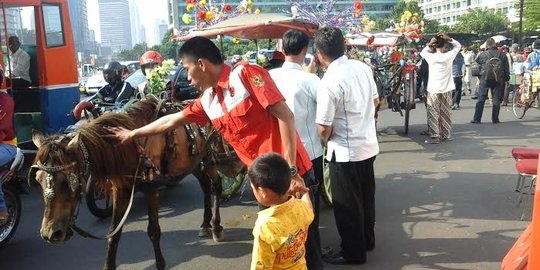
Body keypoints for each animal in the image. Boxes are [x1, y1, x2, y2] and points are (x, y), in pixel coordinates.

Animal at [30, 97, 246, 270]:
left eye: (68, 181)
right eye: (38, 180)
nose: (50, 233)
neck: (129, 146)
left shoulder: (151, 189)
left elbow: (153, 231)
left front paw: (160, 264)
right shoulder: (120, 190)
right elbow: (114, 233)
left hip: (210, 159)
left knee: (216, 187)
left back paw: (216, 227)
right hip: (194, 163)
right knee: (205, 187)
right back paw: (205, 224)